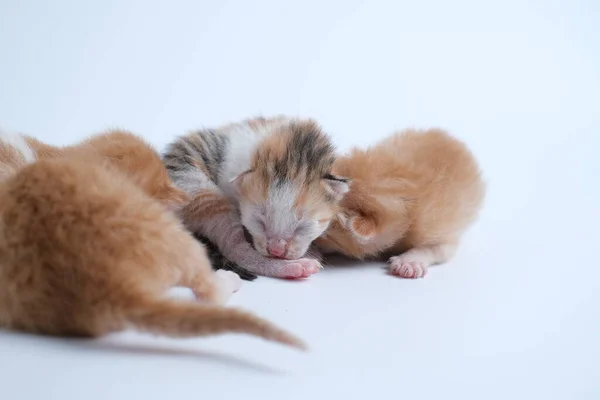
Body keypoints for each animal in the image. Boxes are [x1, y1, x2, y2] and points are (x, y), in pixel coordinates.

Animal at [162, 115, 350, 278]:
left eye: (302, 227)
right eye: (259, 221)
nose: (276, 251)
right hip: (195, 187)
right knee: (235, 248)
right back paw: (295, 266)